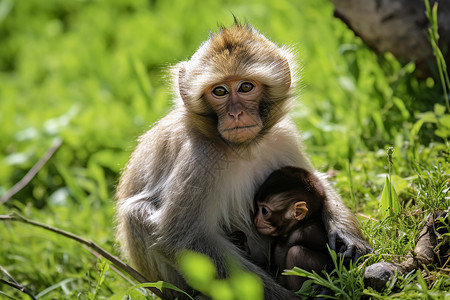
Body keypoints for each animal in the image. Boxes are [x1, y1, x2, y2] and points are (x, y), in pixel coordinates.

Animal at [116, 22, 372, 298]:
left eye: (246, 87)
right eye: (219, 91)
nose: (235, 114)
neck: (242, 148)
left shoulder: (283, 136)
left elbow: (316, 183)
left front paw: (348, 237)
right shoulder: (200, 158)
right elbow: (182, 239)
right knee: (136, 212)